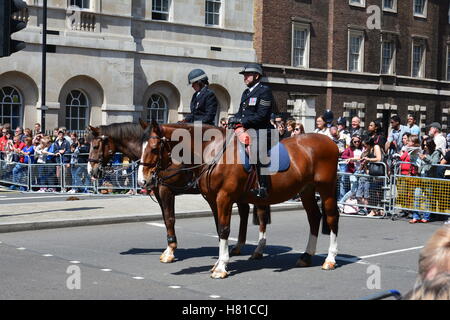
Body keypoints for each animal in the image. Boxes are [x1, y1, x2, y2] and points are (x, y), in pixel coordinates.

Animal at [85, 122, 268, 262]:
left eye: (95, 146)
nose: (91, 171)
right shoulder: (159, 192)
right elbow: (166, 219)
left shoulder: (166, 191)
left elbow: (170, 218)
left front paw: (171, 250)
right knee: (244, 211)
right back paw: (238, 246)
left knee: (259, 213)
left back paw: (257, 249)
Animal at [139, 120, 340, 278]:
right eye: (141, 147)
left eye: (154, 148)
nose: (143, 180)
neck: (214, 152)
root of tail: (330, 141)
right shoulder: (212, 200)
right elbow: (219, 229)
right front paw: (218, 263)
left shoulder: (224, 198)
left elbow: (224, 229)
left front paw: (221, 267)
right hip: (306, 190)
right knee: (314, 217)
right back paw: (306, 256)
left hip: (326, 189)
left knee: (331, 217)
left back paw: (330, 259)